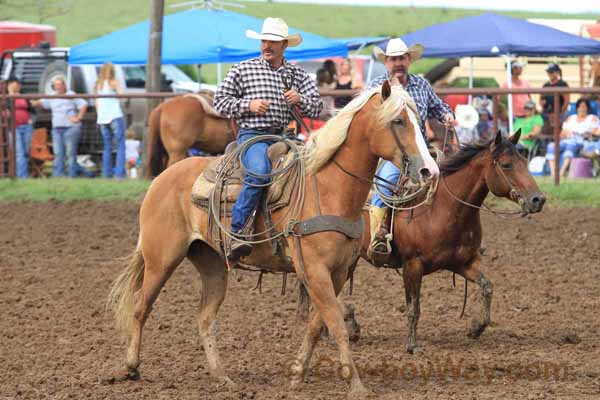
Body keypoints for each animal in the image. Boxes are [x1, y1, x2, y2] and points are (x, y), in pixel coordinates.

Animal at [108, 81, 438, 396]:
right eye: (398, 121)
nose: (429, 170)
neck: (328, 188)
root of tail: (160, 181)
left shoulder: (339, 272)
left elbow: (318, 324)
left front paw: (297, 374)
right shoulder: (314, 270)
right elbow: (335, 323)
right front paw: (356, 384)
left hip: (212, 264)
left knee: (204, 318)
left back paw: (222, 377)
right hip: (161, 260)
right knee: (140, 307)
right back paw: (131, 367)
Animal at [356, 131, 548, 354]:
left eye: (524, 161)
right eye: (506, 164)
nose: (538, 199)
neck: (442, 209)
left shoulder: (461, 264)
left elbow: (487, 287)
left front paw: (476, 328)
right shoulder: (412, 265)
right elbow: (414, 308)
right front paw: (412, 345)